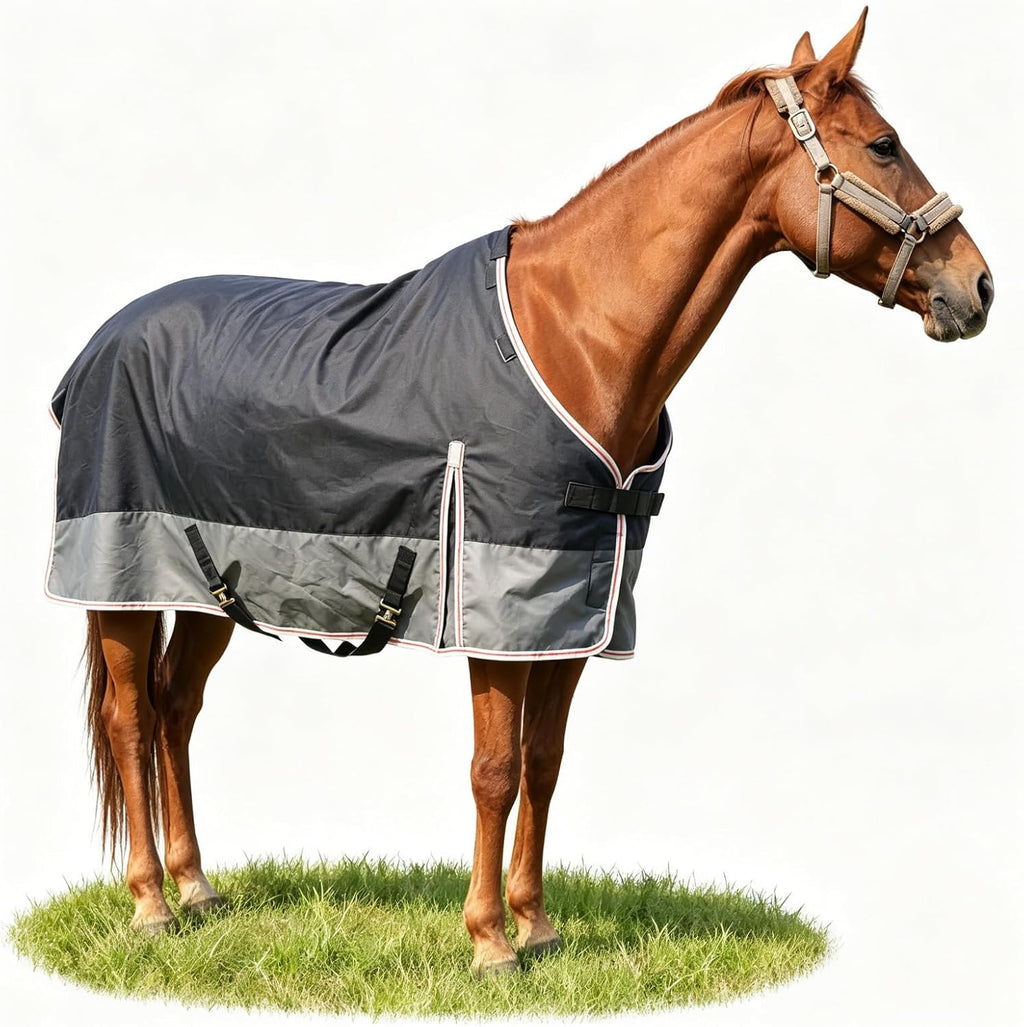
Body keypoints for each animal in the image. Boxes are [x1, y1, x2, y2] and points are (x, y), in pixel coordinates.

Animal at [47, 9, 992, 977]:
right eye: (884, 146)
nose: (979, 286)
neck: (574, 337)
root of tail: (99, 345)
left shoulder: (574, 613)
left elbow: (544, 761)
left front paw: (537, 925)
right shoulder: (498, 616)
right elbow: (493, 771)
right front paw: (489, 941)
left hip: (207, 586)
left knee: (176, 707)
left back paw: (198, 888)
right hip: (119, 580)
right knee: (130, 716)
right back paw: (151, 904)